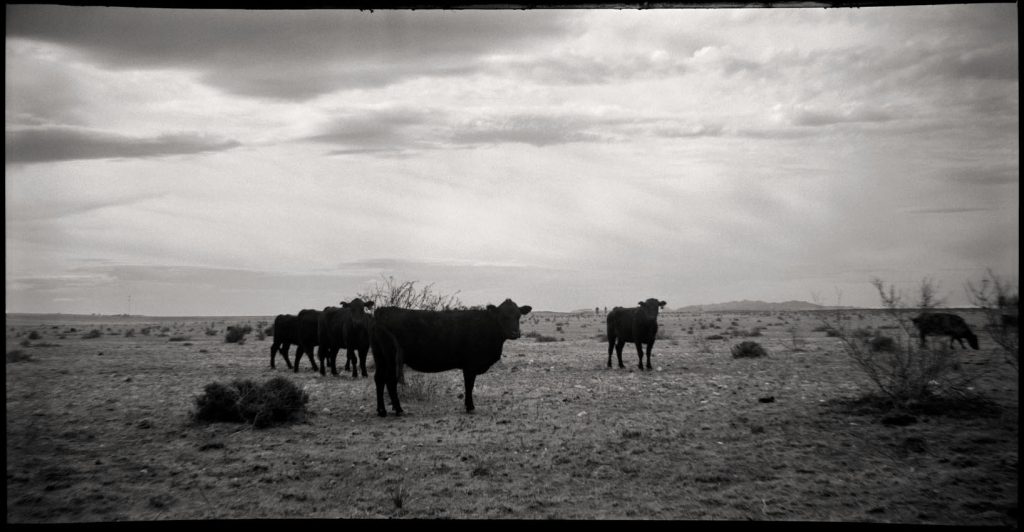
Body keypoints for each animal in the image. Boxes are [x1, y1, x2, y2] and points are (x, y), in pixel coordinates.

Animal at [370, 298, 532, 415]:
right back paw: (398, 409)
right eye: (503, 316)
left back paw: (381, 411)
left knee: (379, 379)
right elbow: (469, 386)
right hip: (391, 357)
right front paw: (470, 407)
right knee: (389, 380)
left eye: (518, 316)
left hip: (380, 356)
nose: (515, 333)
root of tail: (382, 311)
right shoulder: (470, 365)